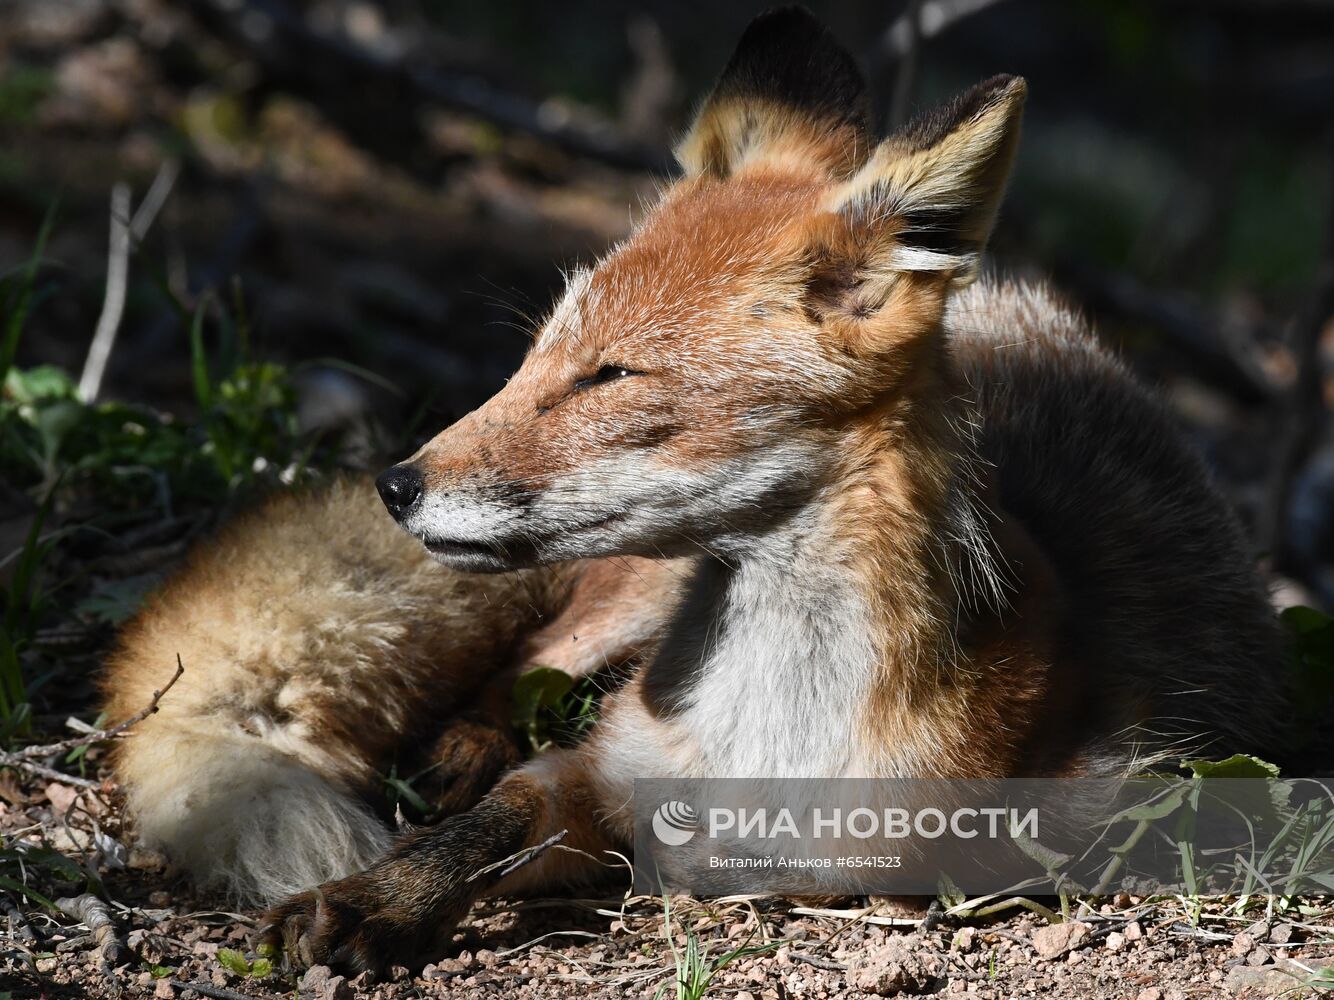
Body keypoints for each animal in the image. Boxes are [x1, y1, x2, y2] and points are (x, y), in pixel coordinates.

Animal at [104, 5, 1291, 981]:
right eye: (537, 354)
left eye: (609, 376)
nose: (399, 484)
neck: (769, 723)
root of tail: (1013, 300)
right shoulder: (604, 763)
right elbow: (496, 819)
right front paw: (376, 895)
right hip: (624, 603)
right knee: (525, 662)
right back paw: (467, 744)